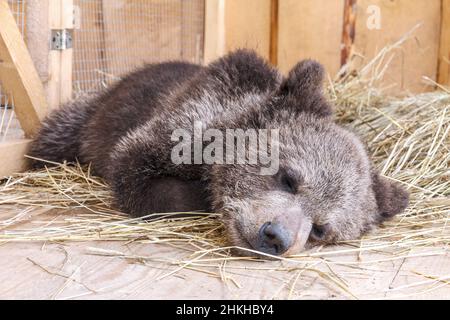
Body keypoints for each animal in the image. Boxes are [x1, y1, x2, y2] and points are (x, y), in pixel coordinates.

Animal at [27, 50, 408, 256]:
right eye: (289, 178)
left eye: (320, 230)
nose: (275, 237)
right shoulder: (181, 122)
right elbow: (137, 173)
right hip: (89, 115)